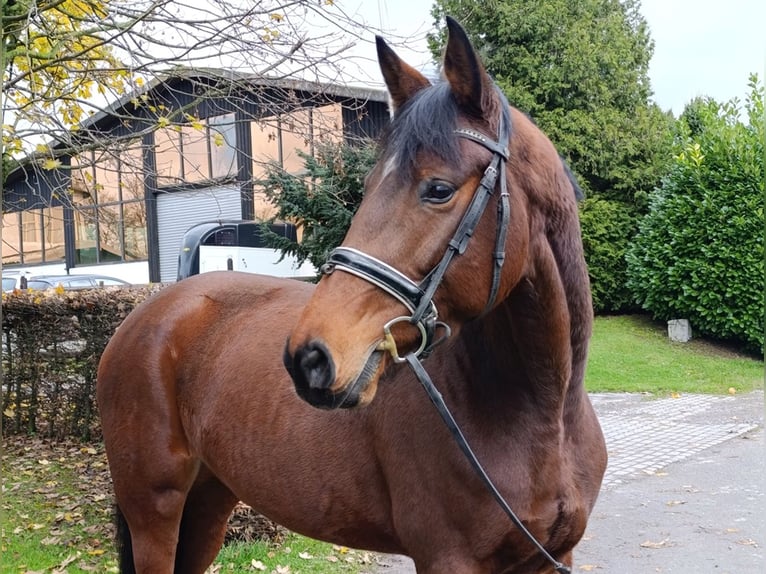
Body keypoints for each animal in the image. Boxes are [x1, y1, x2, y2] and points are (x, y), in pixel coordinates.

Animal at [99, 16, 608, 574]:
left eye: (438, 189)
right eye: (366, 185)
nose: (308, 358)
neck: (544, 422)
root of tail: (144, 316)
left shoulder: (552, 557)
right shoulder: (447, 558)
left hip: (209, 500)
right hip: (155, 510)